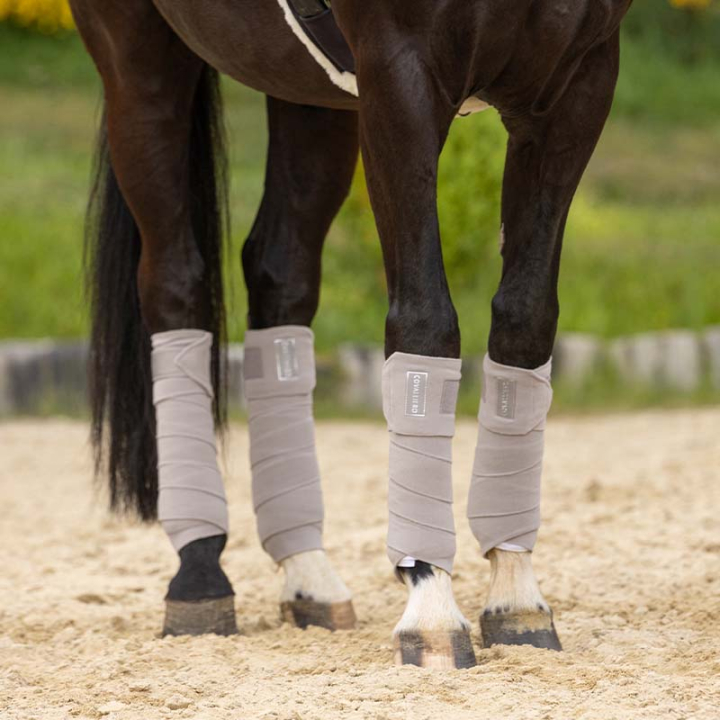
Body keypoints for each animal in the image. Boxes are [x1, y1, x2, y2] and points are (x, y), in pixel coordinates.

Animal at [69, 0, 633, 669]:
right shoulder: (400, 74)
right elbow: (425, 321)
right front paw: (431, 607)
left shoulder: (576, 87)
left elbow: (525, 321)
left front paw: (515, 598)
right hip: (138, 62)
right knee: (174, 283)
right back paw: (200, 575)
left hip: (309, 92)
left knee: (280, 275)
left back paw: (308, 575)